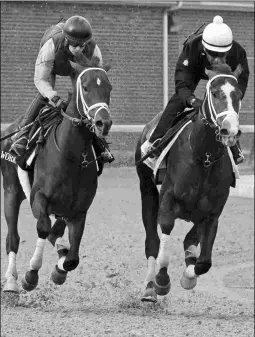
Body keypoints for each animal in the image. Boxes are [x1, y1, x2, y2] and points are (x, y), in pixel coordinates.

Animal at [0, 59, 112, 292]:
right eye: (85, 87)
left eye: (109, 88)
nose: (103, 123)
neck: (73, 156)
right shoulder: (38, 198)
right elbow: (43, 228)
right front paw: (31, 274)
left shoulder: (78, 210)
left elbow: (72, 258)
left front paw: (60, 269)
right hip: (11, 192)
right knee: (13, 238)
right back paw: (11, 281)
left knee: (55, 232)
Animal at [135, 62, 243, 302]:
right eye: (215, 93)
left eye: (239, 94)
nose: (230, 129)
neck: (203, 156)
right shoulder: (167, 201)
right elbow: (163, 246)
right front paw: (161, 281)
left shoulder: (212, 213)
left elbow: (204, 262)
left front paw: (188, 277)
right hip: (147, 189)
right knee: (152, 244)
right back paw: (149, 288)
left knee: (189, 241)